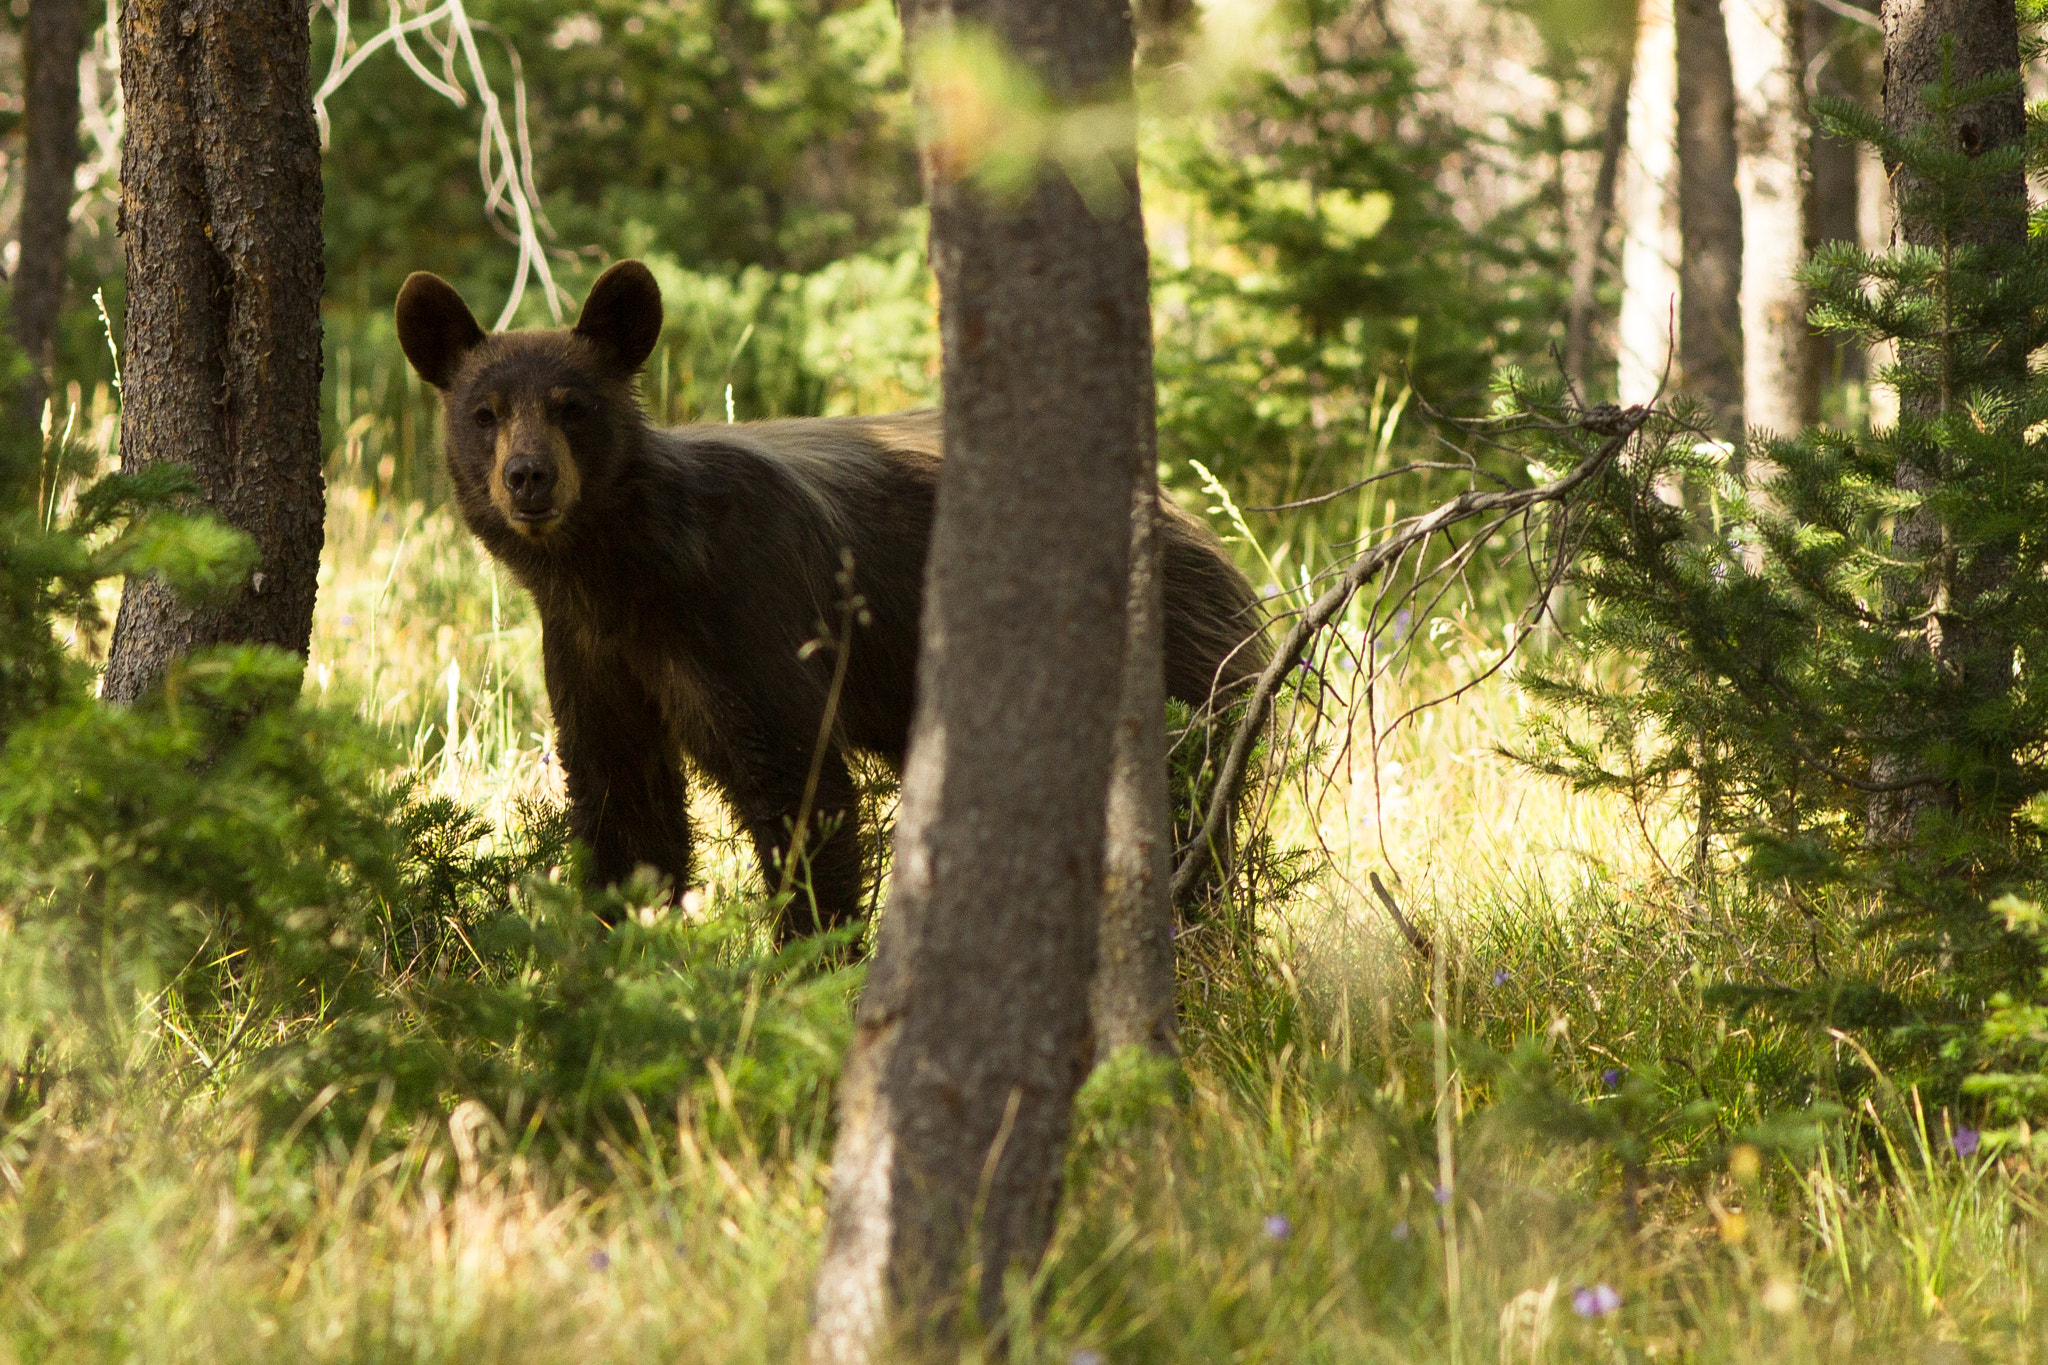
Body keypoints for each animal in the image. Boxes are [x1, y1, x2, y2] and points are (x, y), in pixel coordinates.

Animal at [395, 259, 1267, 942]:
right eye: (484, 413)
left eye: (573, 406)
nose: (528, 477)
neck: (628, 573)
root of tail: (1211, 542)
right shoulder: (590, 654)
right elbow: (625, 809)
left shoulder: (751, 614)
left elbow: (803, 792)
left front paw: (803, 967)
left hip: (1183, 672)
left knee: (1190, 821)